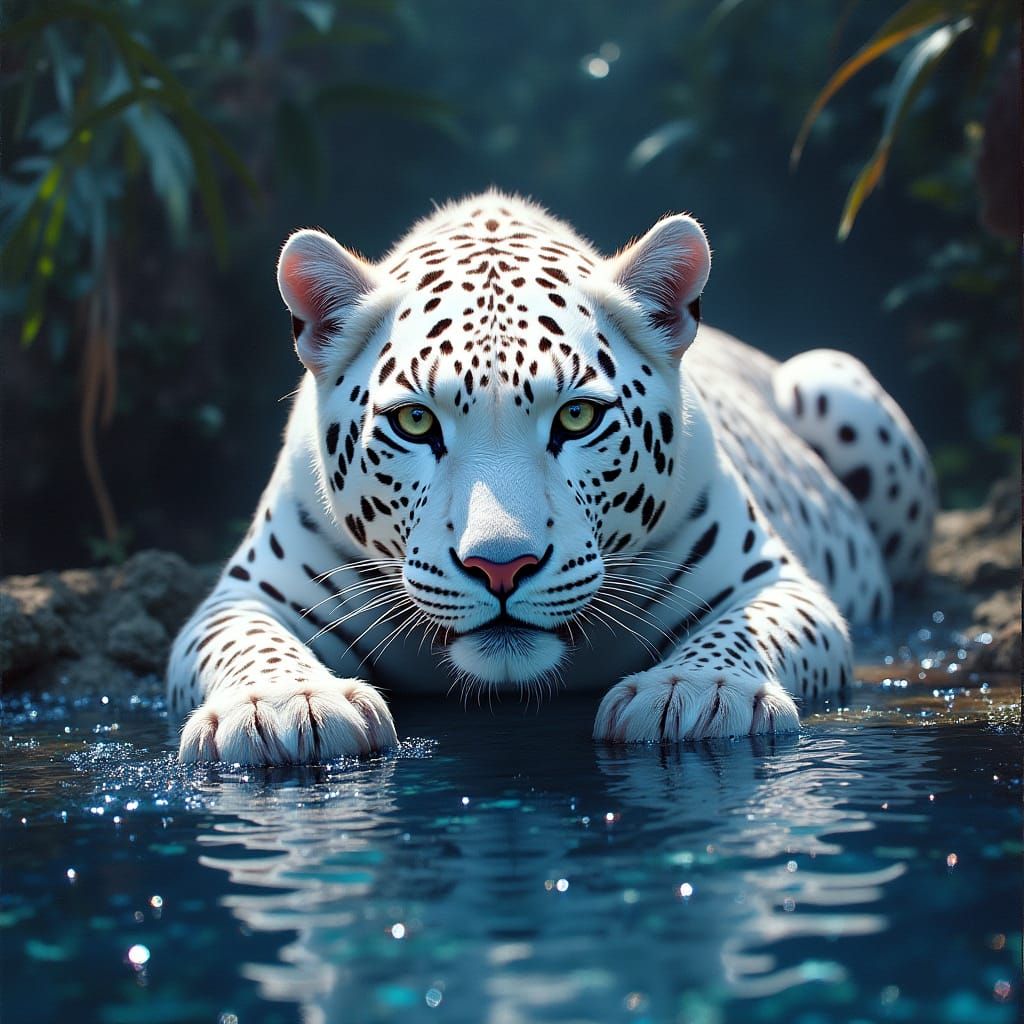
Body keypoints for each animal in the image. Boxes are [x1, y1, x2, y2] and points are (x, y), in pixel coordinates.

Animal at [169, 191, 936, 763]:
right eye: (415, 423)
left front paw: (696, 691)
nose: (501, 568)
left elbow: (744, 632)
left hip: (829, 377)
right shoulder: (242, 596)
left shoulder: (772, 581)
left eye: (576, 417)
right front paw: (281, 707)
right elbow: (251, 644)